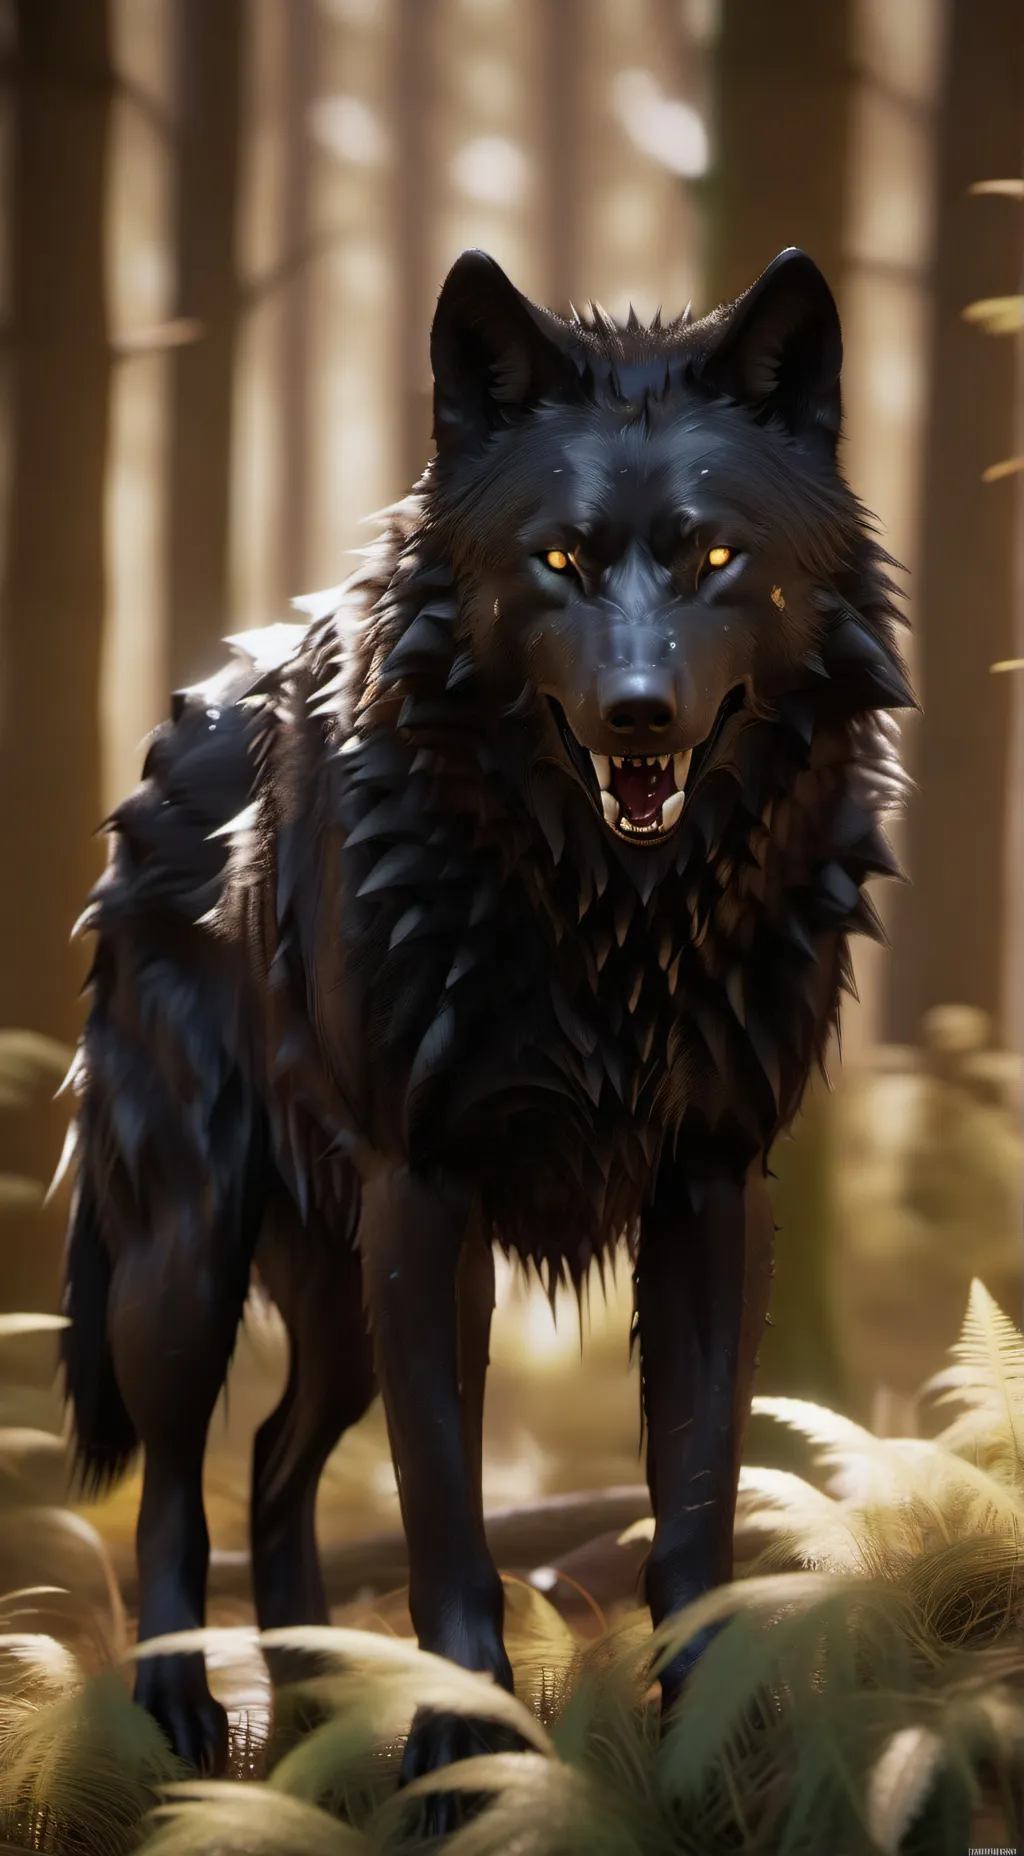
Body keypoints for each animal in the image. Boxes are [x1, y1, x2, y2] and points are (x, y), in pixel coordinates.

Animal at [60, 247, 910, 1780]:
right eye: (558, 561)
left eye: (713, 558)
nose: (638, 715)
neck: (616, 930)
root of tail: (181, 717)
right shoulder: (426, 1190)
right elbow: (443, 1510)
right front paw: (464, 1755)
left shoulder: (714, 1183)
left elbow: (694, 1498)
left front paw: (713, 1742)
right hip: (188, 1256)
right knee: (173, 1477)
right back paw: (184, 1714)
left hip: (329, 1295)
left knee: (275, 1460)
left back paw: (319, 1709)